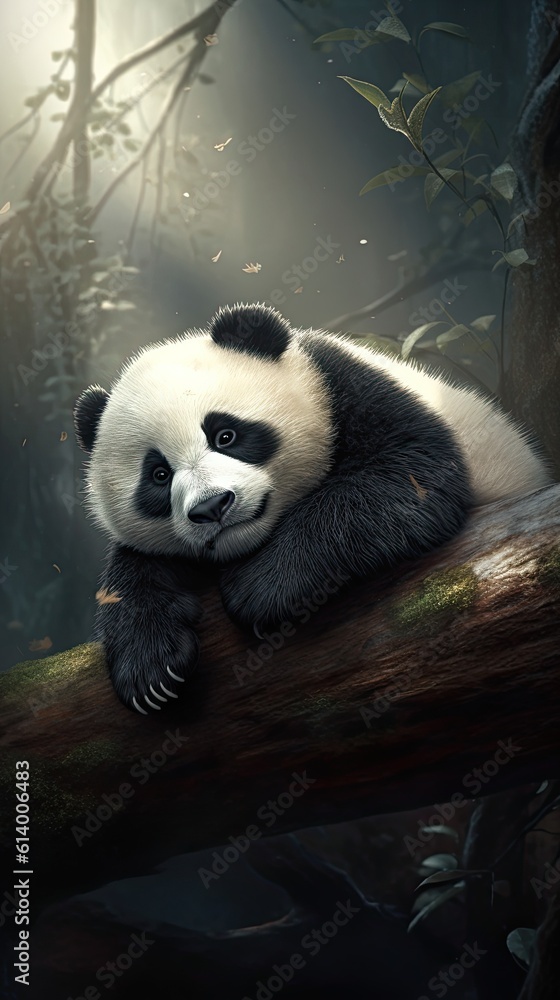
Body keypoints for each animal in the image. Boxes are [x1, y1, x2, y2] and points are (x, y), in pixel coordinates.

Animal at [74, 303, 551, 714]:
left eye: (226, 434)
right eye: (158, 474)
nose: (212, 507)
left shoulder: (347, 385)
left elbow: (409, 473)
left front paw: (259, 588)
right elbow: (133, 566)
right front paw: (149, 667)